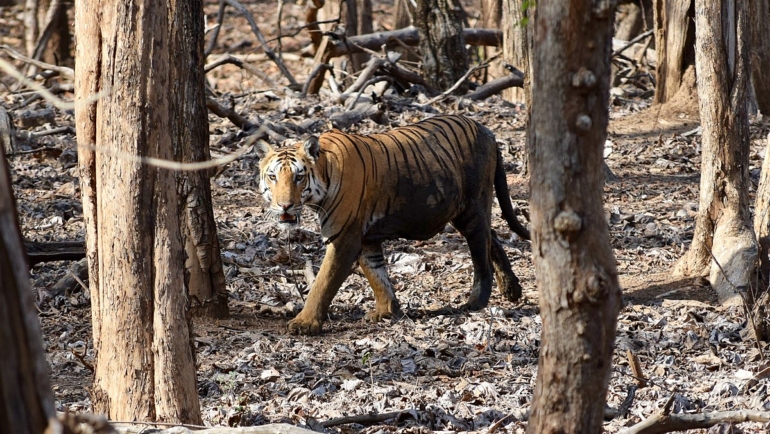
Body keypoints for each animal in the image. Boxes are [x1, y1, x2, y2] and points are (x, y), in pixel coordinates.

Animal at [255, 113, 524, 334]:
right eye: (273, 176)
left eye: (299, 177)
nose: (285, 205)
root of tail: (485, 130)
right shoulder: (366, 238)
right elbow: (376, 274)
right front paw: (387, 311)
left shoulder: (343, 238)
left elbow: (323, 283)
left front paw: (305, 323)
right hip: (461, 210)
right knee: (492, 237)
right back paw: (511, 290)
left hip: (472, 207)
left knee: (481, 254)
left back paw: (476, 302)